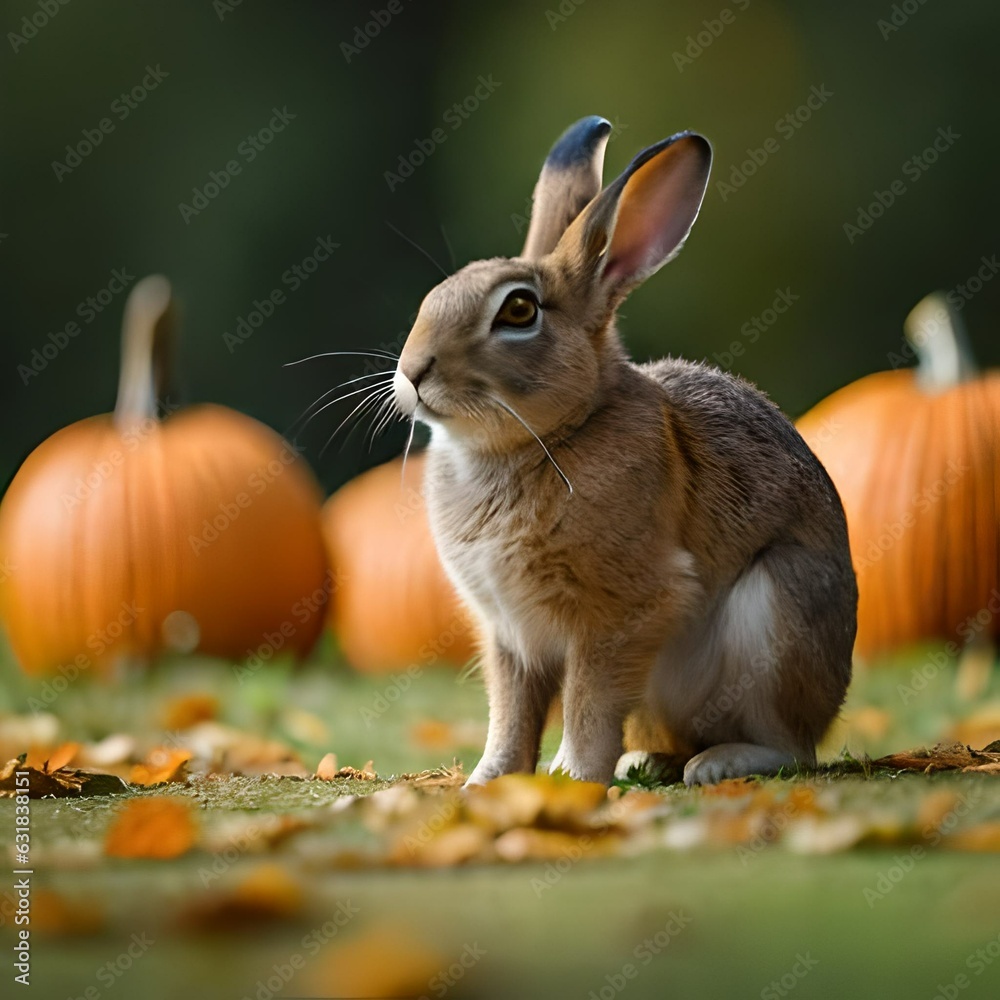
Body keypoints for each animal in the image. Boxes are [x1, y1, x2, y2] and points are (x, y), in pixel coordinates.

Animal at [390, 116, 857, 786]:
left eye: (519, 310)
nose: (413, 371)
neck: (554, 433)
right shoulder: (508, 634)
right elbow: (512, 713)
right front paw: (490, 781)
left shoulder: (620, 613)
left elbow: (589, 700)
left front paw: (570, 778)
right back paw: (646, 762)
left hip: (776, 615)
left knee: (790, 747)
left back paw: (716, 764)